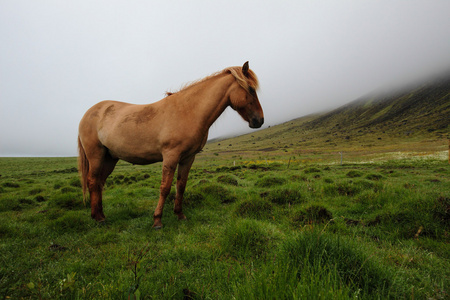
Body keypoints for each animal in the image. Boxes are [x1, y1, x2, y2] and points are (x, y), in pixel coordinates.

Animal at [78, 62, 264, 229]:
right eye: (250, 89)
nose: (259, 120)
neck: (188, 110)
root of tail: (89, 113)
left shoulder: (188, 158)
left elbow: (180, 186)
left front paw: (180, 215)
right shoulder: (170, 156)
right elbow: (165, 187)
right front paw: (157, 221)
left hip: (110, 158)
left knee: (100, 183)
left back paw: (101, 215)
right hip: (96, 155)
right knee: (93, 181)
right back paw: (98, 218)